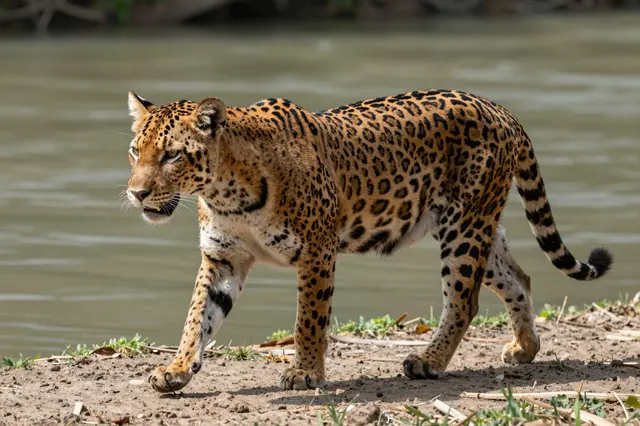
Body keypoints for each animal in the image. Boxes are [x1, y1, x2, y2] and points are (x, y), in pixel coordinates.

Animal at [124, 89, 612, 393]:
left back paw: (429, 362)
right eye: (135, 151)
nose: (136, 193)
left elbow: (309, 319)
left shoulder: (317, 251)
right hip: (475, 228)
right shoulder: (222, 258)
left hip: (464, 228)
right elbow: (197, 317)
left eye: (171, 155)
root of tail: (497, 107)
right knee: (519, 279)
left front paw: (304, 373)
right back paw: (524, 349)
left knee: (464, 299)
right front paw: (177, 369)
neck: (226, 192)